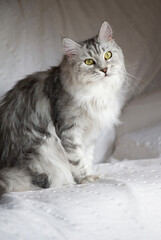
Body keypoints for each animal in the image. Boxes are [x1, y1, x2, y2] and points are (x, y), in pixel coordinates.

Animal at [0, 22, 127, 195]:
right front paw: (86, 179)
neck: (96, 93)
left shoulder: (89, 135)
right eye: (89, 62)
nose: (104, 70)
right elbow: (78, 160)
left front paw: (93, 174)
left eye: (108, 55)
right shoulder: (70, 131)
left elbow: (87, 157)